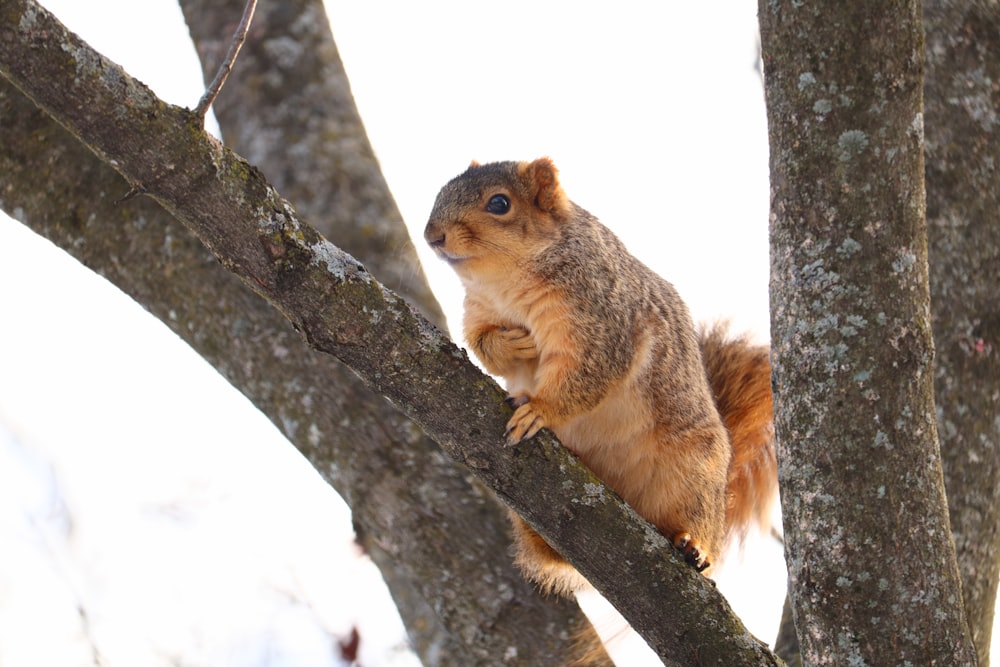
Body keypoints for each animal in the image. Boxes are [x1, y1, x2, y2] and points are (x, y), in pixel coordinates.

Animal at [422, 159, 772, 596]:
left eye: (499, 203)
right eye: (442, 190)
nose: (432, 236)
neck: (507, 283)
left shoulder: (601, 320)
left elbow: (591, 374)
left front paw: (540, 411)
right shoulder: (481, 312)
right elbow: (485, 346)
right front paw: (516, 345)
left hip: (694, 471)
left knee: (694, 521)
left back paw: (694, 546)